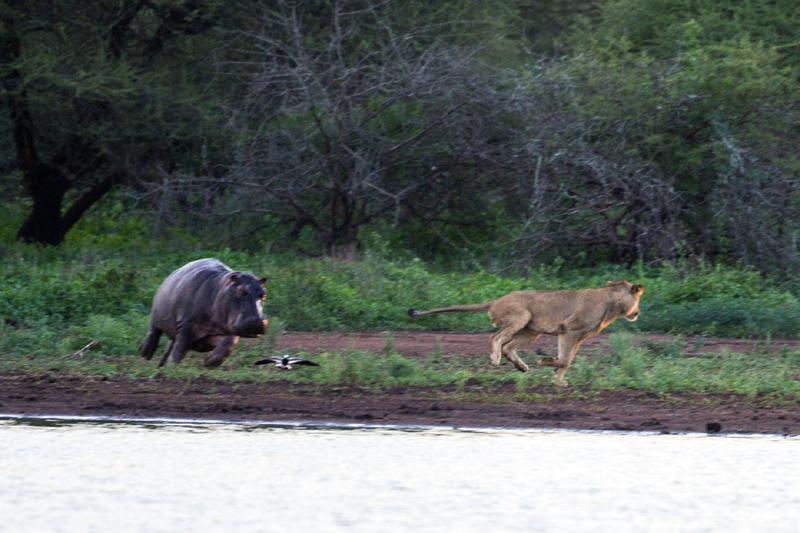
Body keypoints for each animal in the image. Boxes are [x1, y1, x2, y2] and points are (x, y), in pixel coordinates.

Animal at [406, 278, 644, 386]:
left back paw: (521, 366)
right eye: (638, 299)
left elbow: (566, 361)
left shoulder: (579, 337)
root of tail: (496, 300)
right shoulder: (570, 329)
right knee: (496, 338)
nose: (638, 312)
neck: (611, 304)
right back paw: (495, 359)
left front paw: (557, 381)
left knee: (509, 346)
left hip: (531, 331)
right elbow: (564, 359)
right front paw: (546, 362)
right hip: (521, 316)